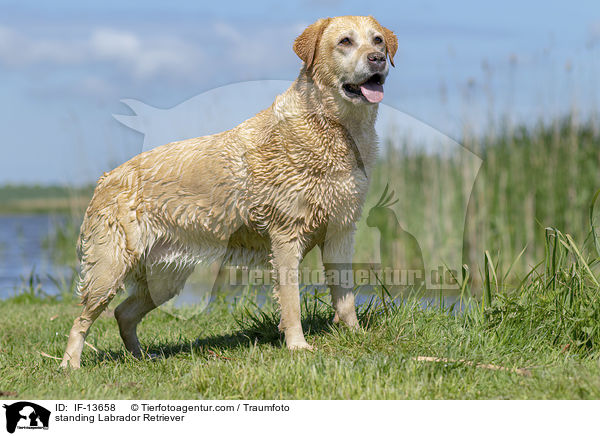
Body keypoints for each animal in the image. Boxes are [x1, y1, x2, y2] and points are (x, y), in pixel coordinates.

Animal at [62, 15, 398, 368]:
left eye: (377, 40)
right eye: (345, 41)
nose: (376, 59)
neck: (335, 128)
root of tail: (105, 178)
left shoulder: (341, 231)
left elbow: (345, 294)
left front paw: (355, 335)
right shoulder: (286, 236)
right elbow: (291, 300)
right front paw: (297, 346)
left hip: (165, 278)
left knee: (123, 312)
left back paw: (142, 357)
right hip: (109, 268)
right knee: (82, 320)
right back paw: (70, 365)